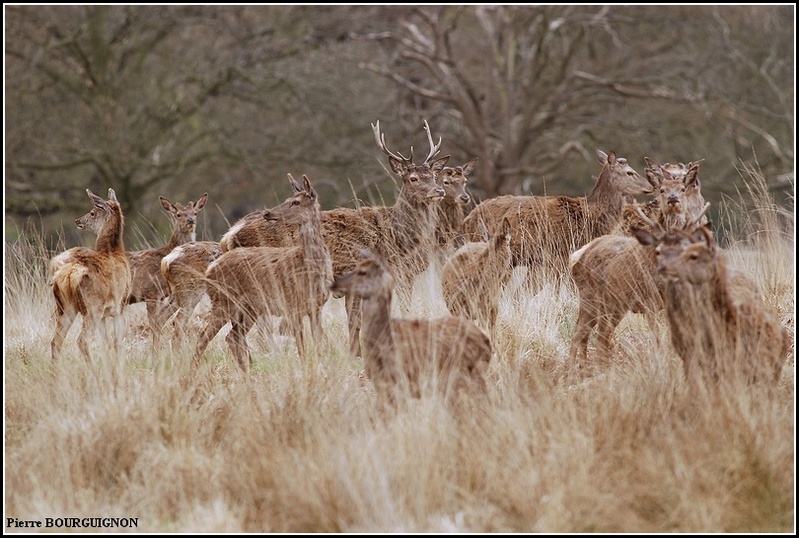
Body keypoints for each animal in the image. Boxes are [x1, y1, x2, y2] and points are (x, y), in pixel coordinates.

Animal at [49, 187, 131, 360]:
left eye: (92, 212)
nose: (77, 220)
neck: (113, 251)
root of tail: (70, 275)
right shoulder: (120, 306)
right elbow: (117, 344)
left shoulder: (105, 315)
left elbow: (106, 344)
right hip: (92, 308)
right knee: (81, 340)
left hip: (65, 307)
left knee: (55, 341)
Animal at [195, 174, 332, 370]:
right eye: (287, 200)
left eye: (296, 202)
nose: (267, 213)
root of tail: (210, 269)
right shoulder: (292, 305)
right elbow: (302, 349)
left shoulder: (316, 307)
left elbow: (318, 345)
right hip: (224, 300)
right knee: (203, 338)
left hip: (249, 308)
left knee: (232, 337)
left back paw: (247, 371)